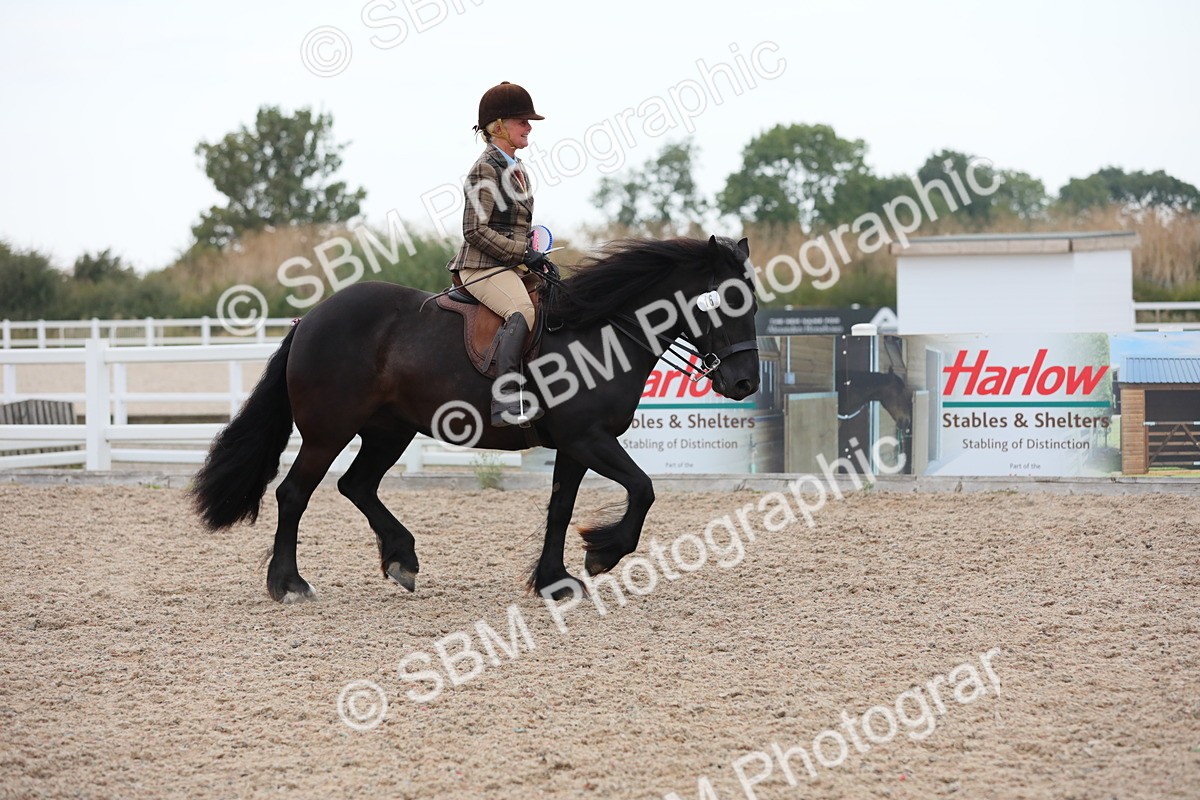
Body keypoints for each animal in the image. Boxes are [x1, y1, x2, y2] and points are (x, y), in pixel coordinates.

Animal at [190, 236, 760, 603]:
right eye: (726, 302)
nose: (744, 384)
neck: (602, 329)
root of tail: (310, 317)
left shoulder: (574, 445)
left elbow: (560, 509)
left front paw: (554, 581)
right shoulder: (589, 438)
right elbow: (644, 489)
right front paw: (603, 554)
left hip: (390, 432)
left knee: (357, 486)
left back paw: (401, 558)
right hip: (328, 432)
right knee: (294, 494)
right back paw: (289, 584)